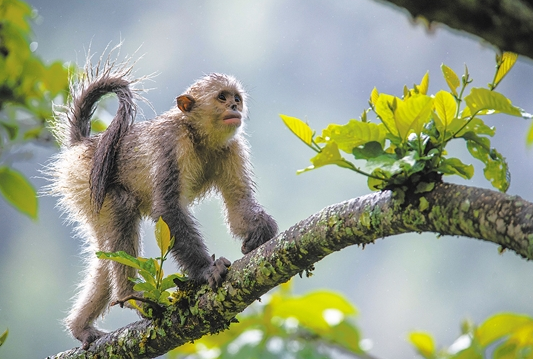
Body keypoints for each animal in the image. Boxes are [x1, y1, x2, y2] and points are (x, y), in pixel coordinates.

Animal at [45, 54, 278, 350]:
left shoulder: (231, 148)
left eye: (236, 98)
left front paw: (260, 233)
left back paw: (81, 327)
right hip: (86, 181)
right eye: (222, 97)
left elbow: (239, 207)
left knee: (104, 254)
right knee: (121, 207)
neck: (197, 135)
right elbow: (167, 208)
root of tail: (84, 144)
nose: (235, 107)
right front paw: (206, 270)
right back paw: (131, 297)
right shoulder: (172, 142)